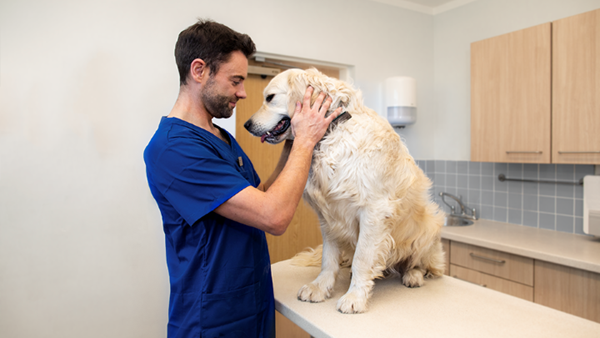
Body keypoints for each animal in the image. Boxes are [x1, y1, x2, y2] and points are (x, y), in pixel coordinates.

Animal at [244, 68, 446, 314]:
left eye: (270, 97)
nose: (246, 125)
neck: (333, 132)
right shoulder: (328, 216)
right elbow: (328, 258)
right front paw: (320, 287)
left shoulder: (374, 211)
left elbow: (363, 258)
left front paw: (355, 297)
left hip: (429, 227)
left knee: (423, 263)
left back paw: (413, 275)